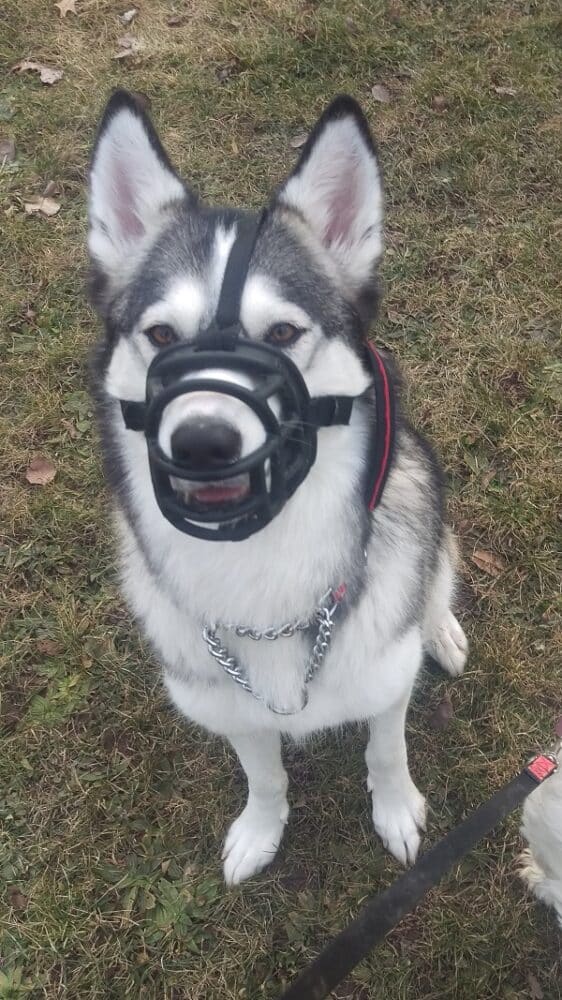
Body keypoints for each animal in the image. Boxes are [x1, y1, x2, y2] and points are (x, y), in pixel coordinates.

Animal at [86, 88, 464, 884]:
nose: (202, 442)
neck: (261, 571)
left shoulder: (385, 682)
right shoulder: (232, 708)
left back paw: (441, 630)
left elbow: (387, 750)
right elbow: (264, 775)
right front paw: (261, 832)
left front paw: (397, 814)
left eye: (284, 334)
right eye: (161, 336)